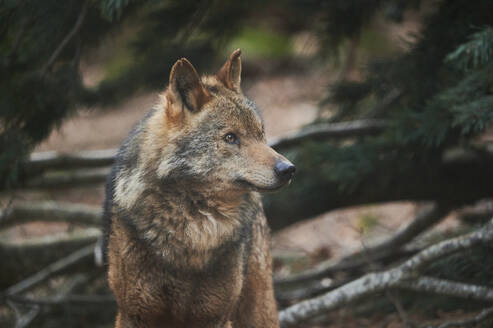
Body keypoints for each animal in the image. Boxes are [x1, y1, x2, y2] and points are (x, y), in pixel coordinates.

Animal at [102, 49, 294, 328]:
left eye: (260, 134)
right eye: (230, 137)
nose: (288, 169)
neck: (194, 231)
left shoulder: (214, 316)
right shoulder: (134, 315)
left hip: (258, 307)